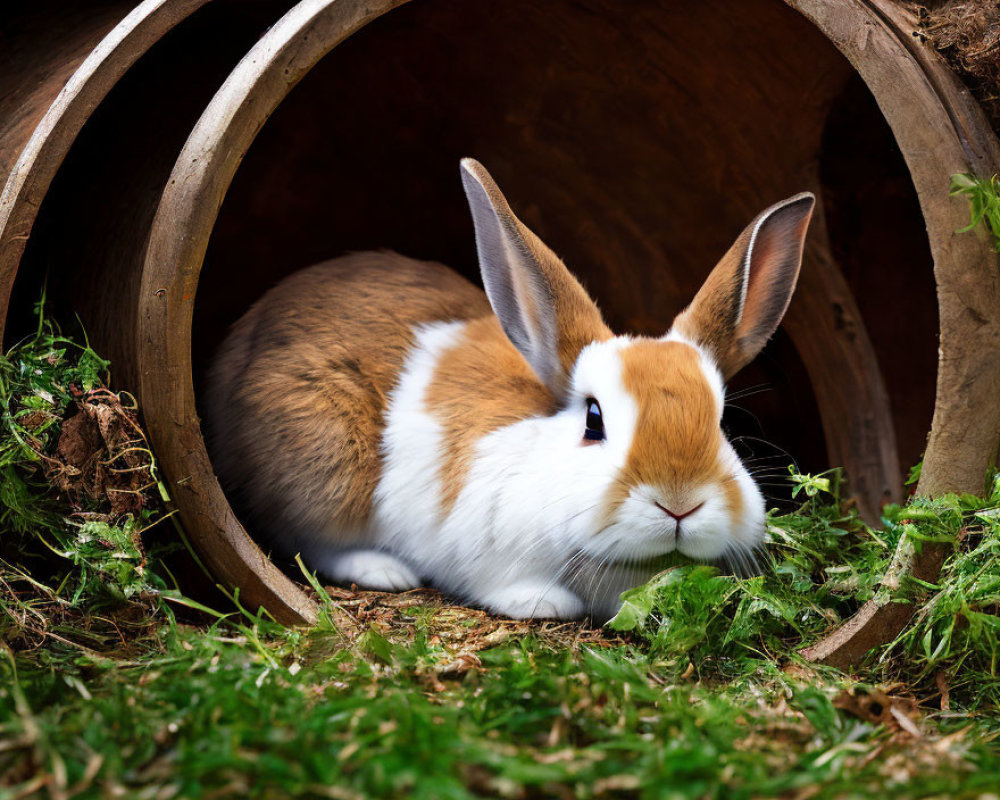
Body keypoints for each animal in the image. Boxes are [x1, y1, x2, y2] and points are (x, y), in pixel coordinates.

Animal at [207, 156, 816, 620]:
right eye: (593, 420)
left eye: (721, 423)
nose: (679, 504)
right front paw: (547, 605)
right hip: (323, 470)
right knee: (308, 540)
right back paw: (384, 570)